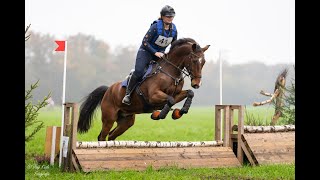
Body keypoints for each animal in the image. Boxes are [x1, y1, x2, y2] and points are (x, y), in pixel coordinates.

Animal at [76, 38, 209, 141]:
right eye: (194, 60)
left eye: (203, 62)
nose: (197, 84)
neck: (170, 72)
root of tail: (108, 90)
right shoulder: (153, 96)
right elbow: (170, 100)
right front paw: (158, 115)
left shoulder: (176, 94)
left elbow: (189, 93)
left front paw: (179, 112)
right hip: (109, 118)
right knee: (102, 136)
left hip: (126, 120)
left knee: (111, 135)